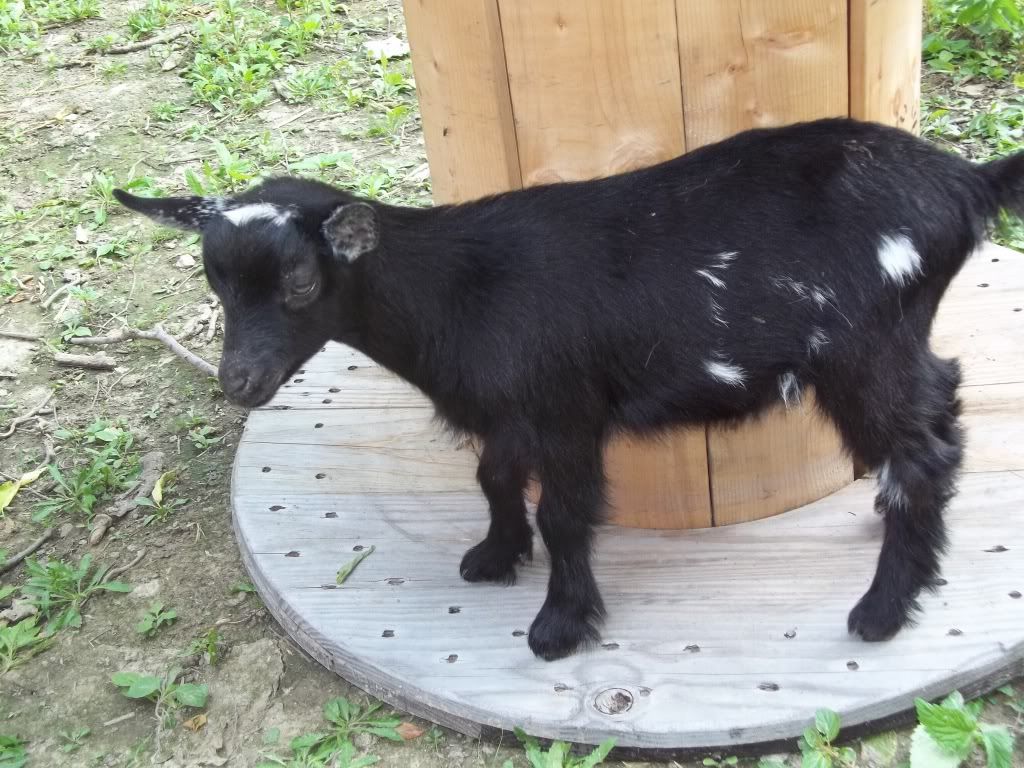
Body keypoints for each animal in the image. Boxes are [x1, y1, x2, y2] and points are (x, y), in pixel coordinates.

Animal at [115, 117, 1024, 661]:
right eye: (214, 280)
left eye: (301, 282)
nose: (240, 382)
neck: (456, 290)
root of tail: (965, 181)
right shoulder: (513, 409)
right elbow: (492, 476)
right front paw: (493, 556)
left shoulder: (565, 410)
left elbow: (565, 511)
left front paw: (557, 626)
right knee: (940, 412)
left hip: (862, 349)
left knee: (921, 451)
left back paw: (883, 609)